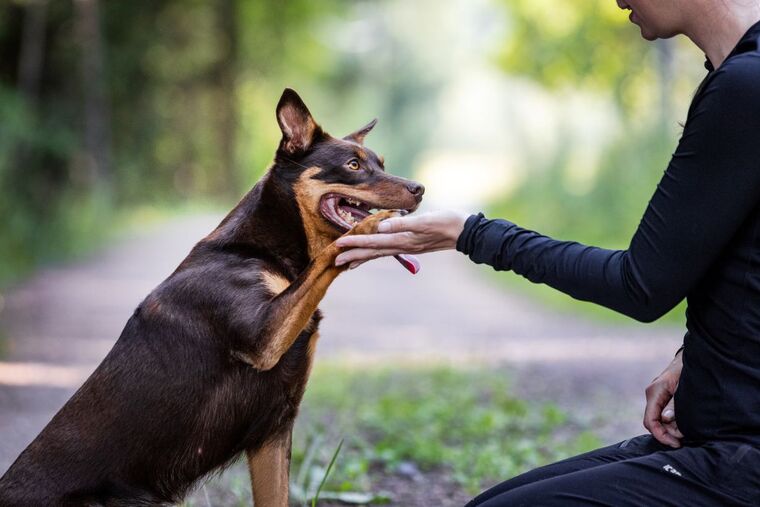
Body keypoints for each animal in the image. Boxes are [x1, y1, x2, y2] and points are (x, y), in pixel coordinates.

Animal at [0, 89, 422, 506]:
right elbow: (330, 255)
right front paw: (375, 223)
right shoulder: (263, 339)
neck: (263, 249)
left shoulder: (274, 430)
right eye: (353, 165)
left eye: (381, 163)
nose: (419, 190)